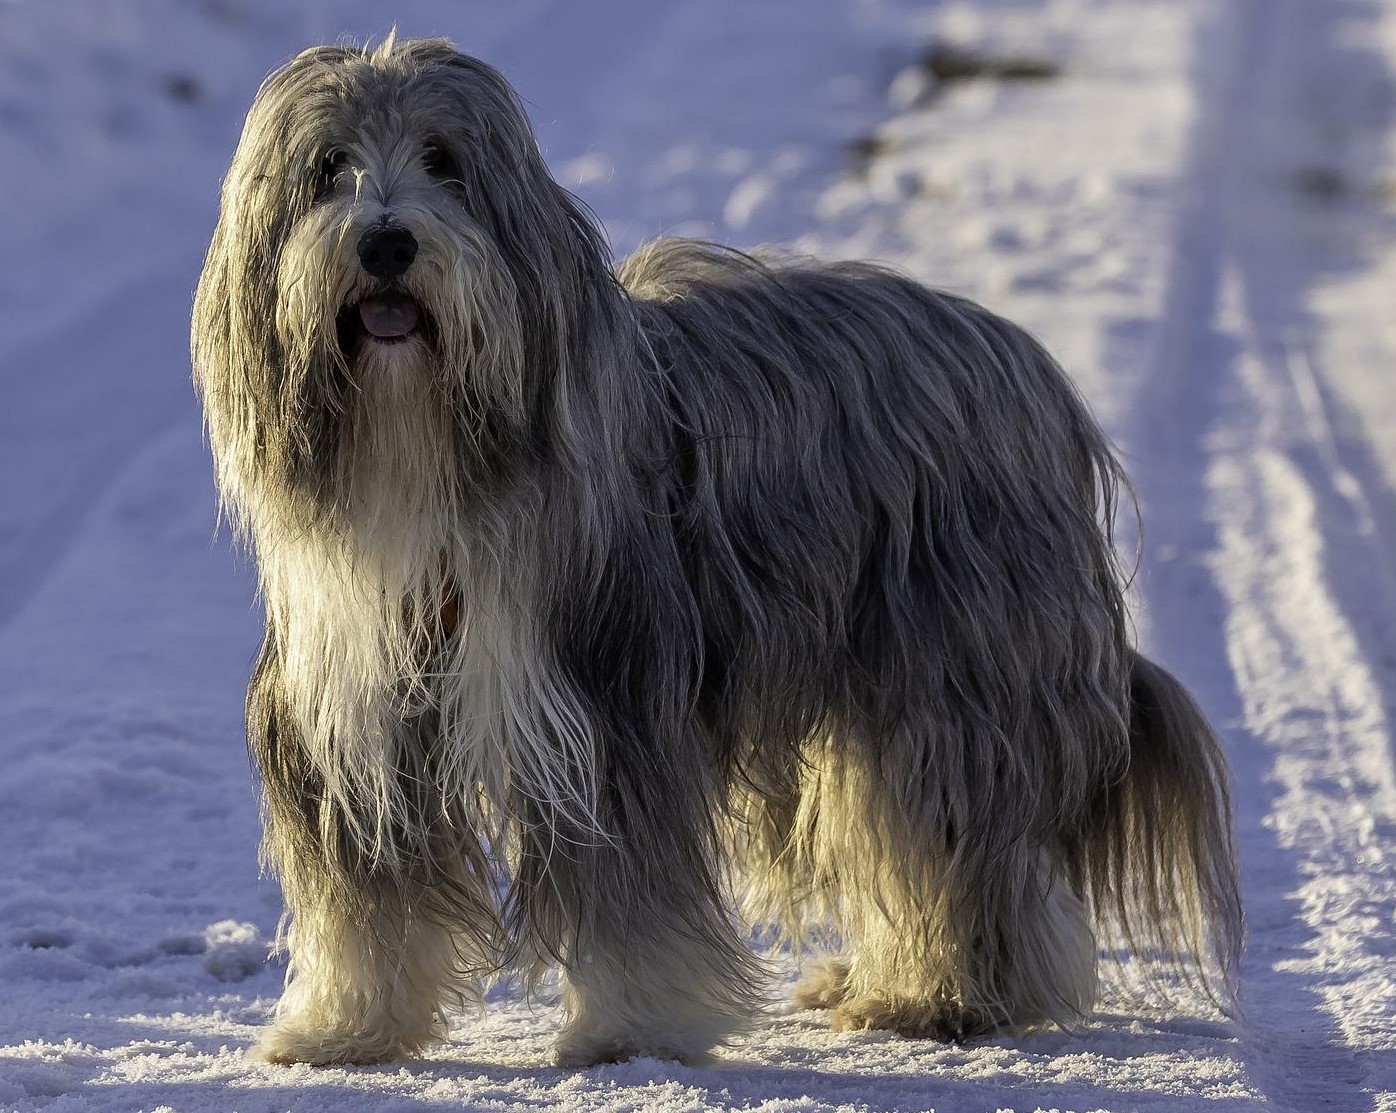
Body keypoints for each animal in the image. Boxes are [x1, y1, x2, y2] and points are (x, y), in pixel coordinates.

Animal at [191, 32, 1239, 1061]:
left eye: (446, 162)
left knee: (959, 841)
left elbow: (632, 893)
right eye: (328, 169)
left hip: (954, 672)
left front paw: (630, 1030)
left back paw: (946, 995)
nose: (387, 241)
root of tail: (1029, 367)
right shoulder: (355, 714)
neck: (426, 456)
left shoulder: (606, 703)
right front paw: (346, 1024)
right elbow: (367, 899)